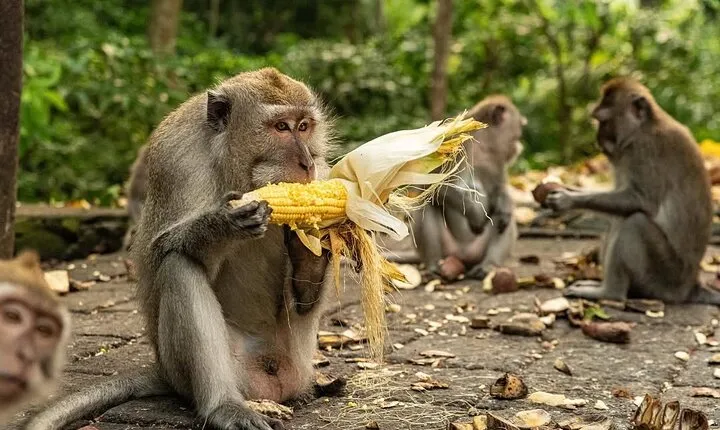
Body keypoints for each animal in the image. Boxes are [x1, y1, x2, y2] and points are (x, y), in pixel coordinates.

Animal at [26, 68, 334, 430]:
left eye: (304, 126)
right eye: (281, 127)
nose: (306, 163)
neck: (236, 169)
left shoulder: (323, 174)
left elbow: (305, 293)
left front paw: (311, 245)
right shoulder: (176, 160)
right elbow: (161, 252)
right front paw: (223, 223)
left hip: (298, 356)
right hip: (197, 369)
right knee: (179, 266)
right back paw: (223, 405)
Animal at [406, 95, 526, 280]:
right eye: (517, 132)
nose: (518, 147)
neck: (482, 143)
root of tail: (463, 255)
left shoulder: (496, 162)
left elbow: (499, 189)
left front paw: (504, 203)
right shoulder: (449, 143)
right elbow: (430, 185)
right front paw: (476, 215)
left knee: (504, 219)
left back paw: (488, 265)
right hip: (449, 248)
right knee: (427, 205)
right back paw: (433, 265)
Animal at [546, 77, 720, 304]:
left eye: (604, 121)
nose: (598, 139)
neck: (645, 127)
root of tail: (691, 287)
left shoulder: (644, 151)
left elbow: (640, 201)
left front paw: (567, 200)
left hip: (666, 277)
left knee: (634, 222)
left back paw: (609, 293)